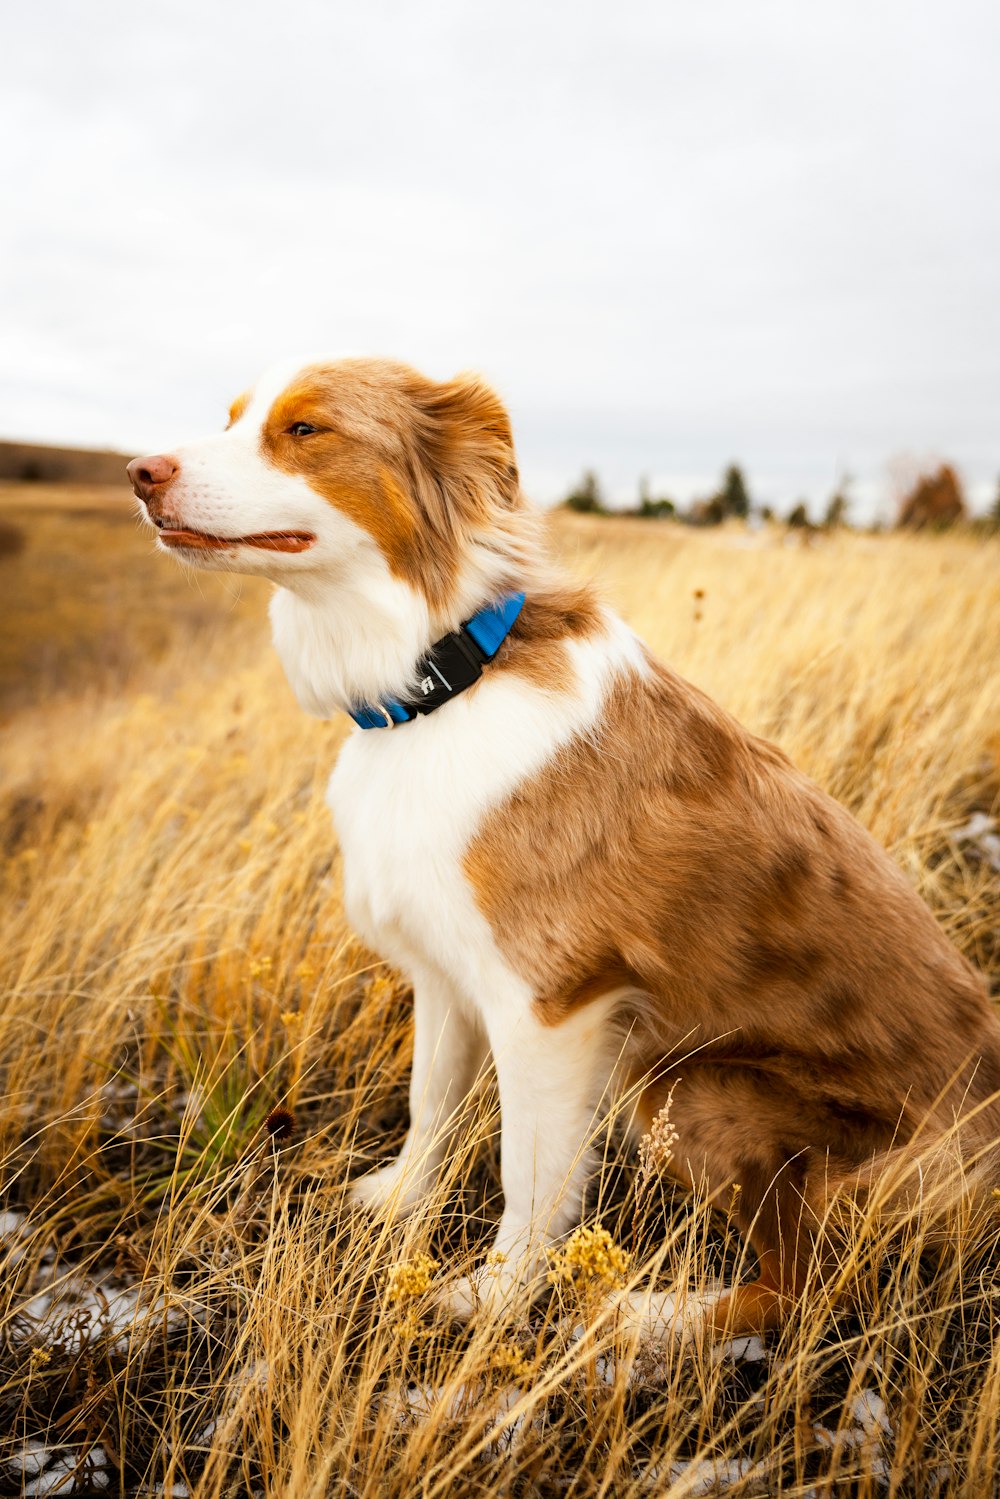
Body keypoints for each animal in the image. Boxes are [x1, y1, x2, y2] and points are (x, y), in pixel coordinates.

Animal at [128, 359, 1000, 1337]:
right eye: (230, 418)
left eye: (306, 430)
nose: (139, 471)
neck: (444, 679)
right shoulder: (444, 974)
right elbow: (431, 1105)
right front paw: (400, 1202)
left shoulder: (549, 1003)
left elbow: (531, 1170)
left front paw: (497, 1296)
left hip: (699, 1084)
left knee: (803, 1286)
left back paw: (639, 1315)